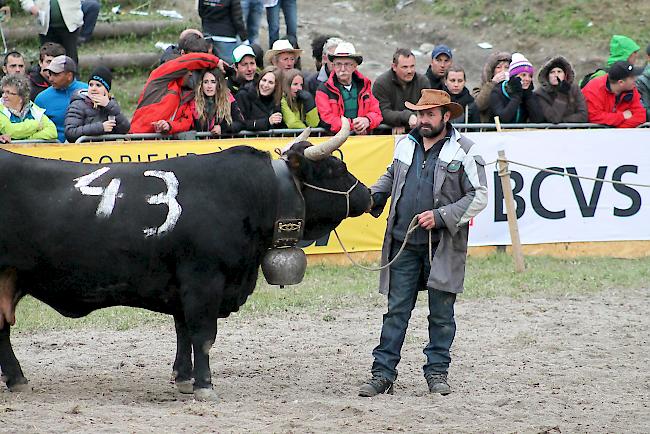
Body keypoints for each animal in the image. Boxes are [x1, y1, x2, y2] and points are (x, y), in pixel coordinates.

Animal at [0, 121, 370, 400]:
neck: (249, 194)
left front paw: (183, 378)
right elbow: (203, 335)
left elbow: (183, 332)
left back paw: (17, 380)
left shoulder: (181, 284)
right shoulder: (204, 279)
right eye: (335, 168)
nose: (370, 195)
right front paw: (205, 386)